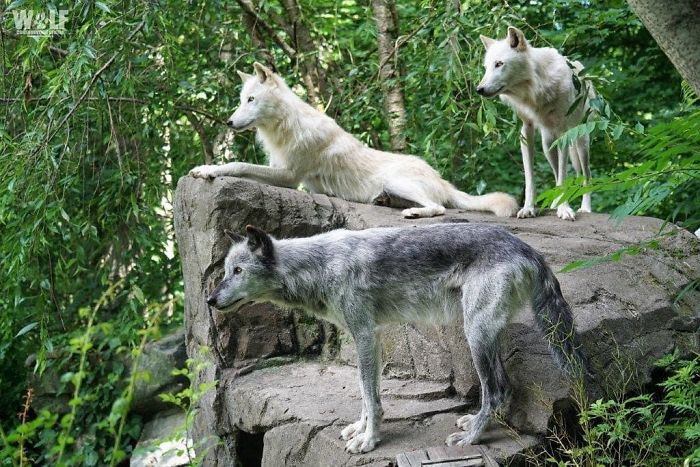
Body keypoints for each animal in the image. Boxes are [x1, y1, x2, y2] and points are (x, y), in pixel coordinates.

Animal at [189, 62, 518, 219]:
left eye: (251, 100)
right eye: (241, 100)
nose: (229, 122)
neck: (285, 127)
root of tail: (441, 179)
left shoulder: (290, 177)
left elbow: (238, 164)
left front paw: (207, 169)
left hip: (397, 180)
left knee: (440, 208)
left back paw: (413, 211)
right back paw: (385, 201)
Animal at [206, 223, 586, 453]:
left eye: (238, 271)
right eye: (225, 271)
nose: (209, 300)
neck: (320, 266)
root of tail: (528, 248)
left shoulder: (365, 336)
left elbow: (371, 397)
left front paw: (369, 441)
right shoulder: (366, 339)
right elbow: (364, 394)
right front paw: (359, 430)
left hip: (475, 335)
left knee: (495, 390)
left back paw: (470, 438)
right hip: (482, 336)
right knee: (502, 390)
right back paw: (476, 423)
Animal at [477, 27, 594, 221]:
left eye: (499, 64)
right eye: (486, 68)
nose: (479, 89)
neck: (535, 89)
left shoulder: (563, 132)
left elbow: (564, 174)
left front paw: (565, 209)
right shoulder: (526, 130)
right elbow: (530, 177)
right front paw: (528, 208)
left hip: (580, 142)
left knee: (585, 174)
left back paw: (585, 208)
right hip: (548, 146)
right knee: (556, 172)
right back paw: (554, 203)